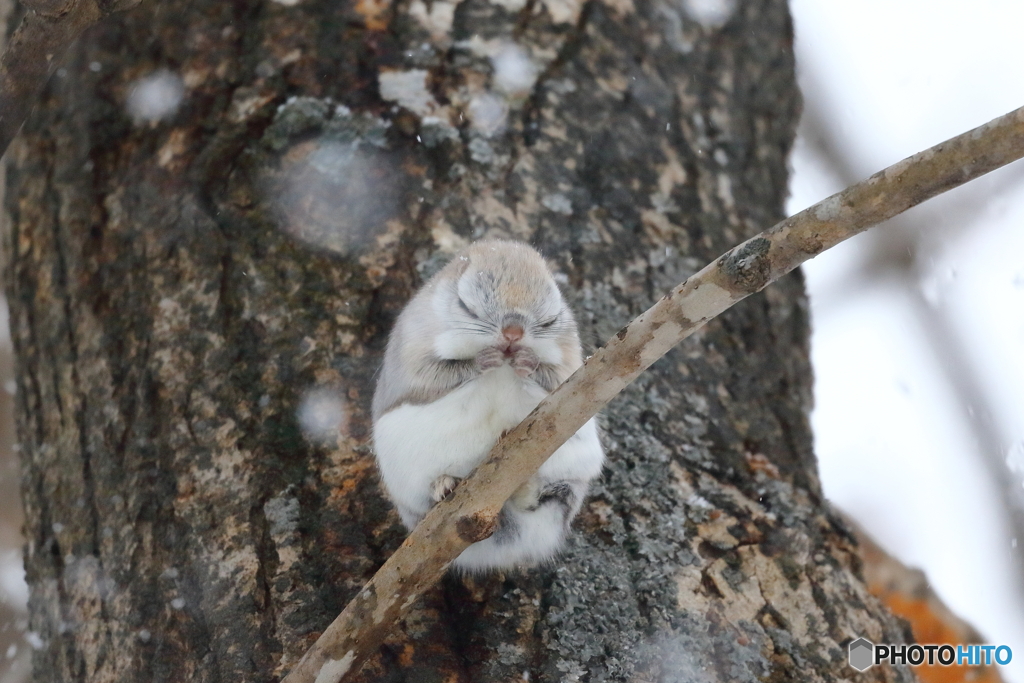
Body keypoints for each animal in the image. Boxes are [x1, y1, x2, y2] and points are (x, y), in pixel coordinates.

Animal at [372, 240, 602, 573]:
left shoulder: (569, 362)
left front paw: (528, 362)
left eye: (551, 319)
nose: (513, 333)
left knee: (554, 499)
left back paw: (529, 489)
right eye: (465, 305)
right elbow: (435, 375)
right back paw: (444, 485)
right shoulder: (412, 353)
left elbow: (557, 378)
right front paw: (483, 360)